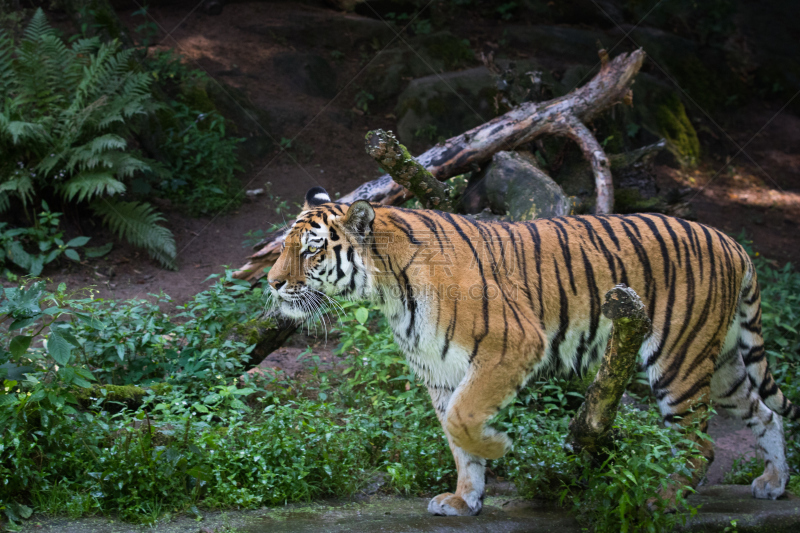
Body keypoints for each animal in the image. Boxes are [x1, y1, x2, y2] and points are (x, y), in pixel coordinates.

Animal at [266, 187, 796, 516]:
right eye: (283, 246)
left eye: (311, 250)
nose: (271, 283)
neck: (389, 289)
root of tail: (732, 242)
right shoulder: (440, 371)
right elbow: (455, 438)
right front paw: (464, 500)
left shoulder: (512, 345)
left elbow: (464, 419)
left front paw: (499, 446)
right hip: (722, 364)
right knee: (765, 413)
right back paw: (774, 483)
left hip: (677, 364)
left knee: (699, 444)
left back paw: (661, 500)